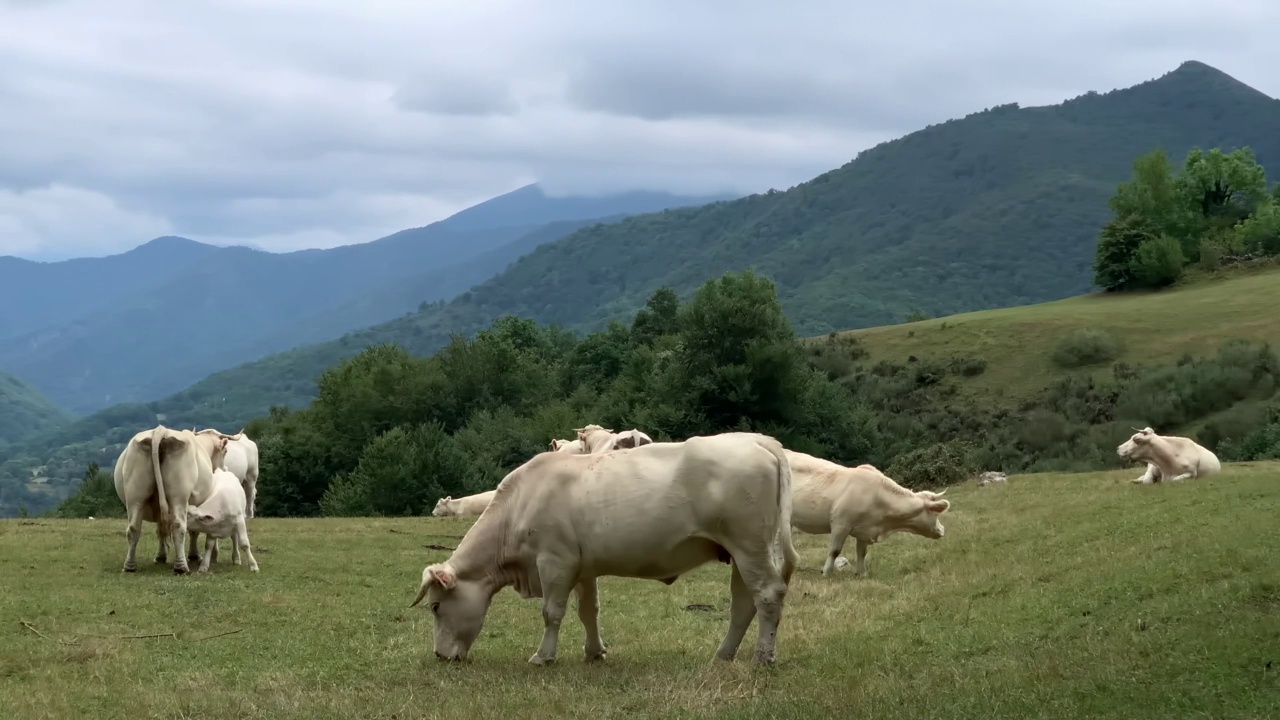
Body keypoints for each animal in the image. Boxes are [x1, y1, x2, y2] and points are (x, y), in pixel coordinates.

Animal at [113, 425, 229, 571]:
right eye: (225, 451)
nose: (224, 469)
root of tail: (159, 430)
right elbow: (193, 531)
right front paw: (194, 555)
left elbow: (160, 530)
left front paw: (160, 557)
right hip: (178, 497)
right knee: (178, 526)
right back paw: (181, 567)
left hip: (135, 496)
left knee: (133, 528)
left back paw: (129, 566)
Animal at [412, 427, 798, 666]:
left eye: (435, 607)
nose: (439, 656)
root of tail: (757, 440)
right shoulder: (582, 567)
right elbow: (588, 612)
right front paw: (594, 652)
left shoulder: (554, 561)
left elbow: (552, 613)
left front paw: (543, 656)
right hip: (739, 552)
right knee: (743, 604)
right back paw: (723, 654)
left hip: (749, 545)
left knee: (768, 595)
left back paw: (763, 657)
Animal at [783, 448, 957, 576]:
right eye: (935, 513)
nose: (942, 529)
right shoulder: (841, 524)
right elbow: (835, 551)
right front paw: (826, 572)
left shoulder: (865, 530)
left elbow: (862, 553)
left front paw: (862, 574)